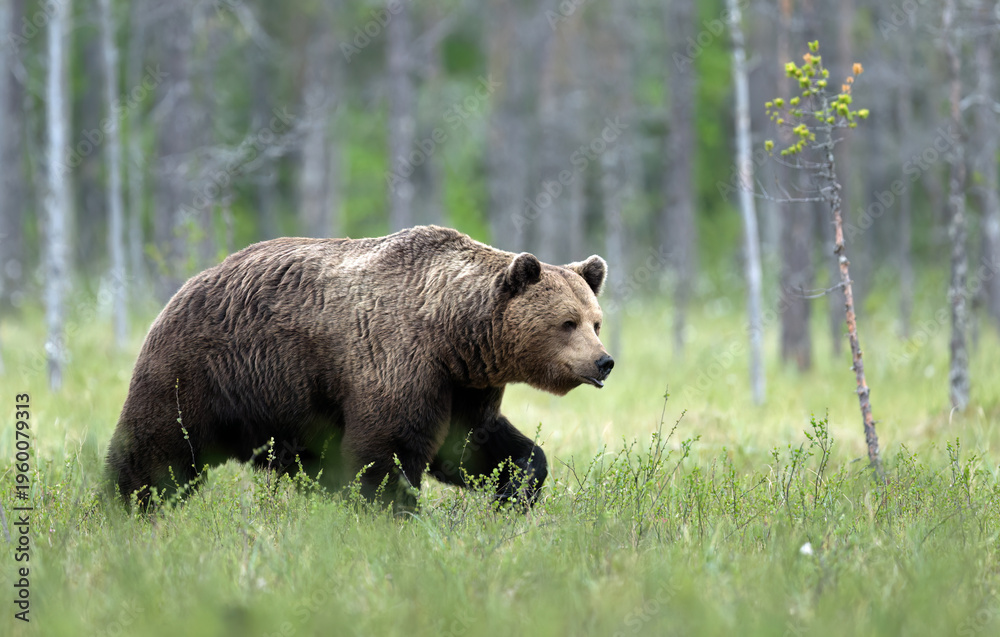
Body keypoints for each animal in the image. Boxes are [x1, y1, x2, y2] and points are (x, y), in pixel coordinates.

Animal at [105, 225, 614, 510]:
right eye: (566, 322)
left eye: (596, 322)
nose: (604, 361)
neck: (454, 334)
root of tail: (186, 285)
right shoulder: (397, 359)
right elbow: (386, 451)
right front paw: (392, 514)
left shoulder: (463, 385)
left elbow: (475, 444)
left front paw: (515, 491)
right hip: (201, 370)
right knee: (158, 449)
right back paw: (127, 507)